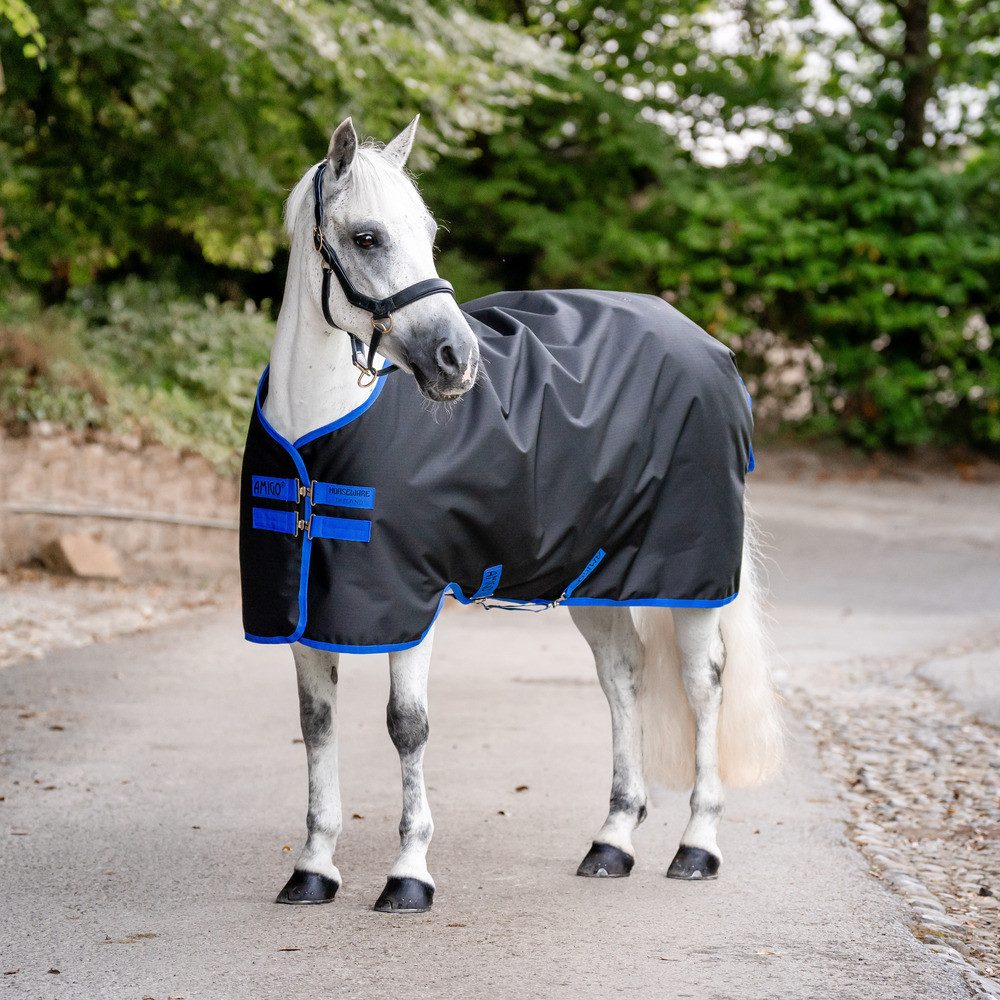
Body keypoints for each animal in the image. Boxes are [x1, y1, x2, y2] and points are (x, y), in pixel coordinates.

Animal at [242, 115, 783, 913]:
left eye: (428, 232)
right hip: (596, 578)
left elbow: (407, 727)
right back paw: (612, 842)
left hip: (690, 577)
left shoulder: (412, 601)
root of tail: (709, 347)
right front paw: (313, 868)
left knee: (702, 682)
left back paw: (697, 846)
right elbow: (317, 727)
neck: (319, 439)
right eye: (367, 236)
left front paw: (409, 874)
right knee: (622, 676)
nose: (456, 359)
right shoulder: (307, 608)